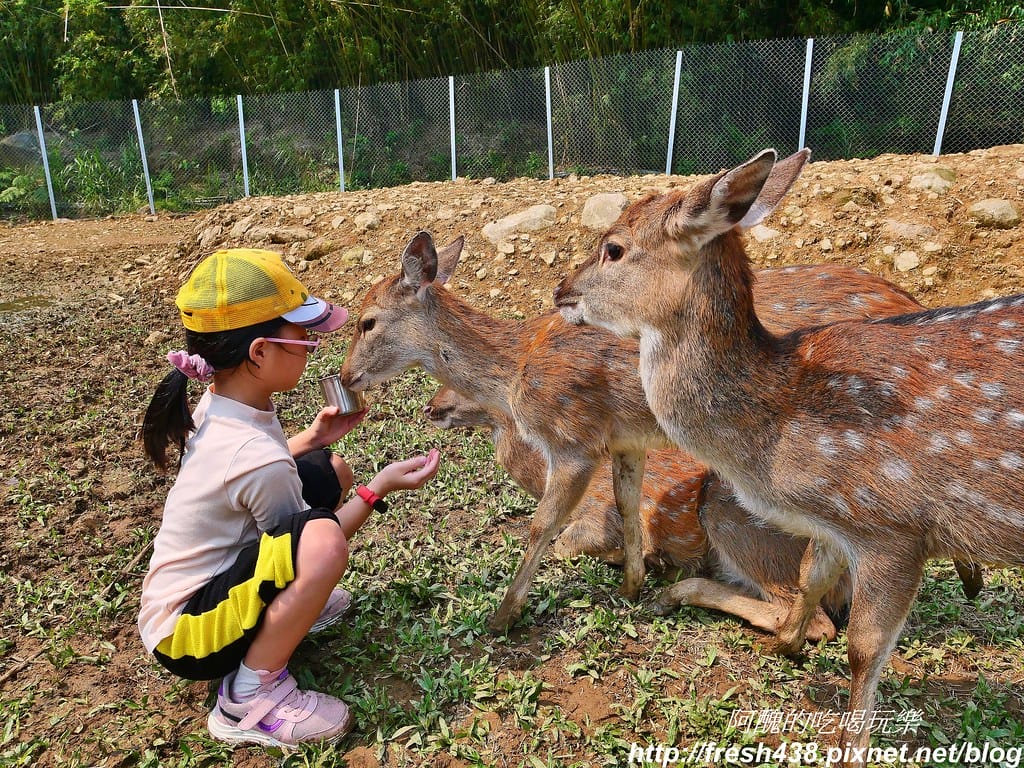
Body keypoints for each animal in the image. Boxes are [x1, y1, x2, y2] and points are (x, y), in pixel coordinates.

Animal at [339, 226, 982, 635]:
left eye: (367, 321)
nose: (345, 376)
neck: (517, 366)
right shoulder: (625, 441)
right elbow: (627, 509)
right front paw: (630, 586)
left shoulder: (574, 439)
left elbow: (544, 527)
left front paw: (501, 618)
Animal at [552, 147, 1023, 765]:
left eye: (613, 247)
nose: (560, 291)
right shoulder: (835, 523)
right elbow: (809, 576)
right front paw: (782, 646)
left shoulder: (894, 526)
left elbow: (863, 648)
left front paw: (850, 748)